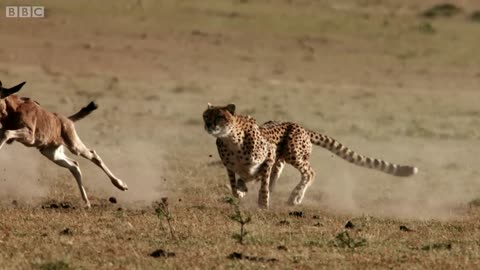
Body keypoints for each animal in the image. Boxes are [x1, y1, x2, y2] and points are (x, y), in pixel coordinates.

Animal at [204, 103, 418, 209]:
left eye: (219, 117)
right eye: (206, 116)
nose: (208, 125)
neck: (230, 139)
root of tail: (300, 126)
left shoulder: (269, 154)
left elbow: (262, 184)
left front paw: (262, 203)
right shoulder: (231, 167)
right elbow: (235, 184)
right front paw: (240, 191)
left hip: (293, 153)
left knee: (310, 173)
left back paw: (295, 197)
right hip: (283, 160)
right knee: (277, 175)